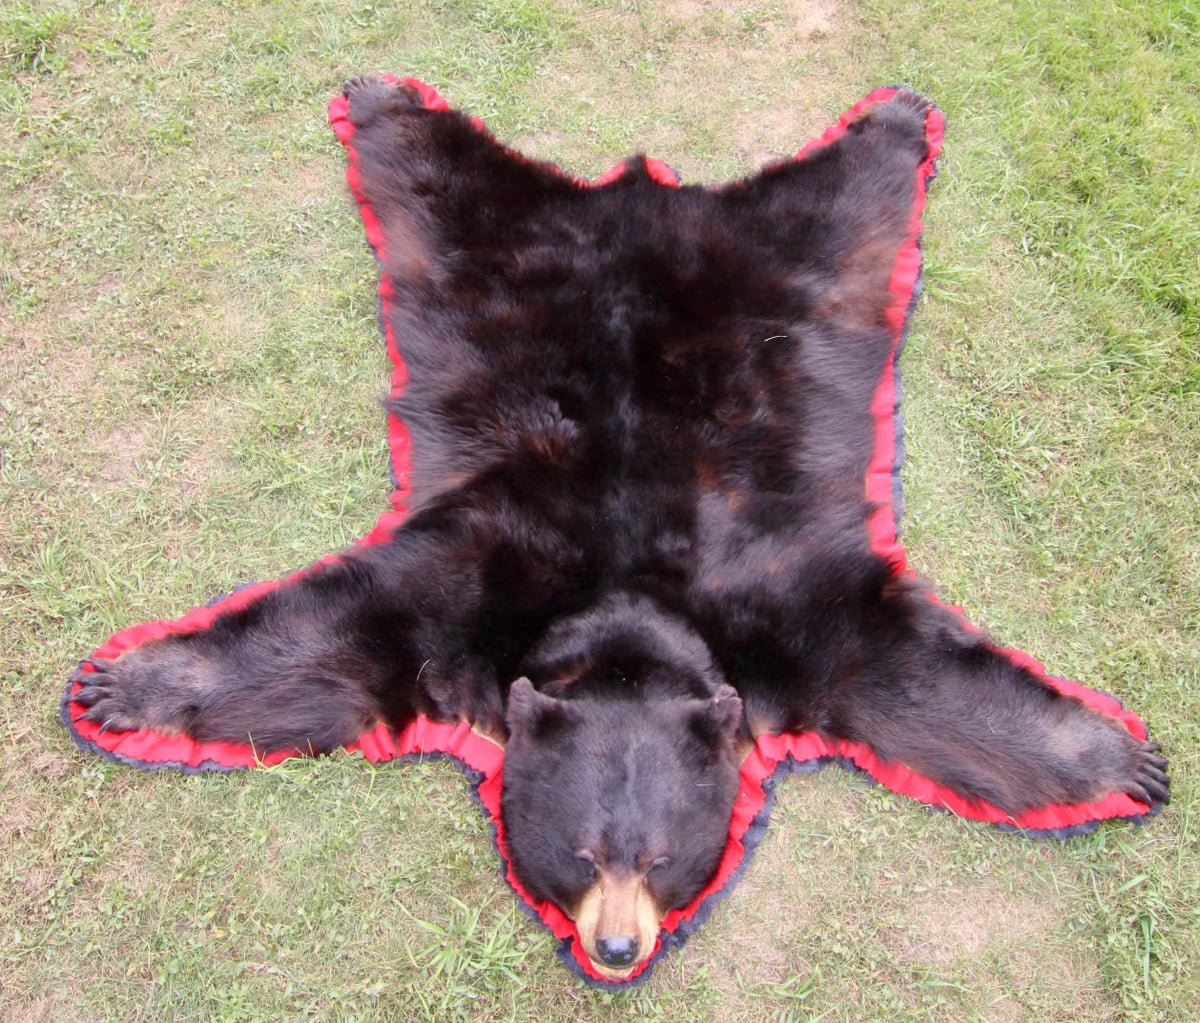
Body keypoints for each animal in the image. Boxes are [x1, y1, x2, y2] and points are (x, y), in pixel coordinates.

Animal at [72, 76, 1168, 980]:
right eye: (581, 853)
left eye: (664, 857)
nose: (617, 948)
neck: (627, 615)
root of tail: (648, 199)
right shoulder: (474, 582)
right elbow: (334, 642)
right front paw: (119, 683)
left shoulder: (787, 614)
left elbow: (913, 683)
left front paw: (1130, 762)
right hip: (489, 240)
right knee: (440, 171)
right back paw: (384, 96)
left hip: (801, 253)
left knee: (850, 189)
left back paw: (894, 117)